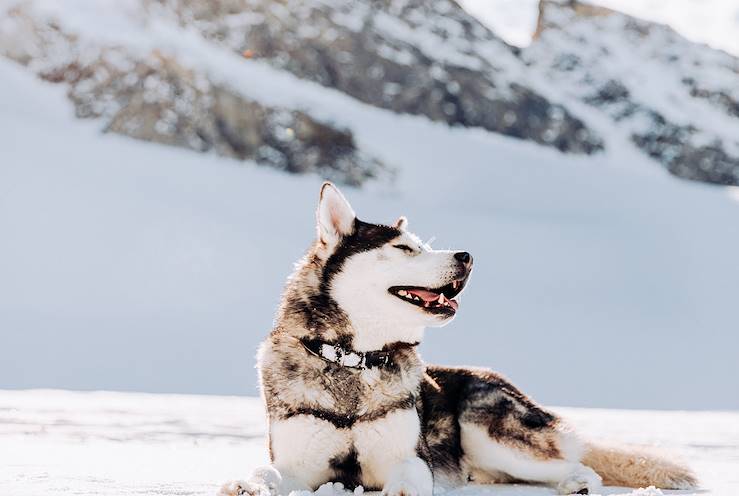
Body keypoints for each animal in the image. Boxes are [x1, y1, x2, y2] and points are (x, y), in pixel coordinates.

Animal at [221, 183, 700, 496]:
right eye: (404, 248)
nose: (467, 256)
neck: (353, 359)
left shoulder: (408, 459)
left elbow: (409, 479)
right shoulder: (297, 464)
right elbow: (268, 473)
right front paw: (246, 484)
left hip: (488, 432)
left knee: (578, 464)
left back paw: (577, 483)